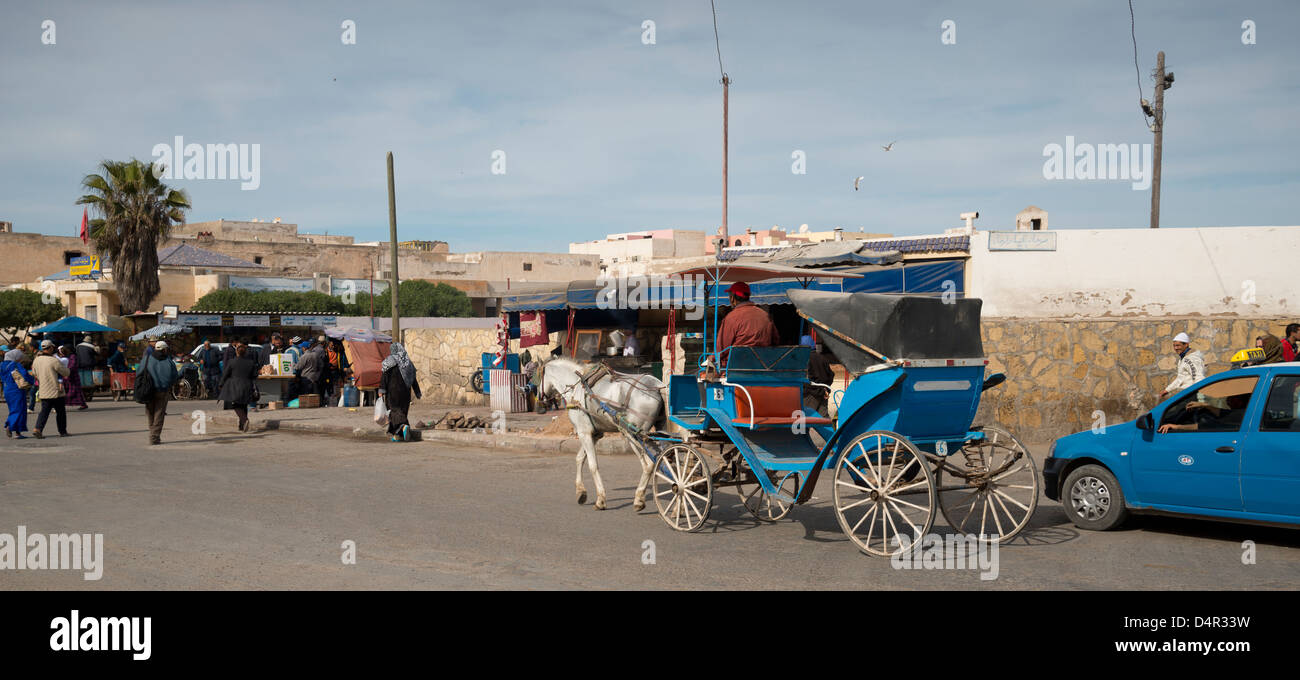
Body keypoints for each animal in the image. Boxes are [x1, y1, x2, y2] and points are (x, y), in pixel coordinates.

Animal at [540, 361, 665, 509]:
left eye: (538, 375)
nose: (541, 400)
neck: (575, 387)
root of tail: (657, 386)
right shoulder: (594, 434)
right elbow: (579, 458)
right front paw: (581, 492)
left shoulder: (584, 433)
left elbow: (592, 465)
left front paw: (600, 499)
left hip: (633, 434)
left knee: (649, 465)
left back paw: (639, 498)